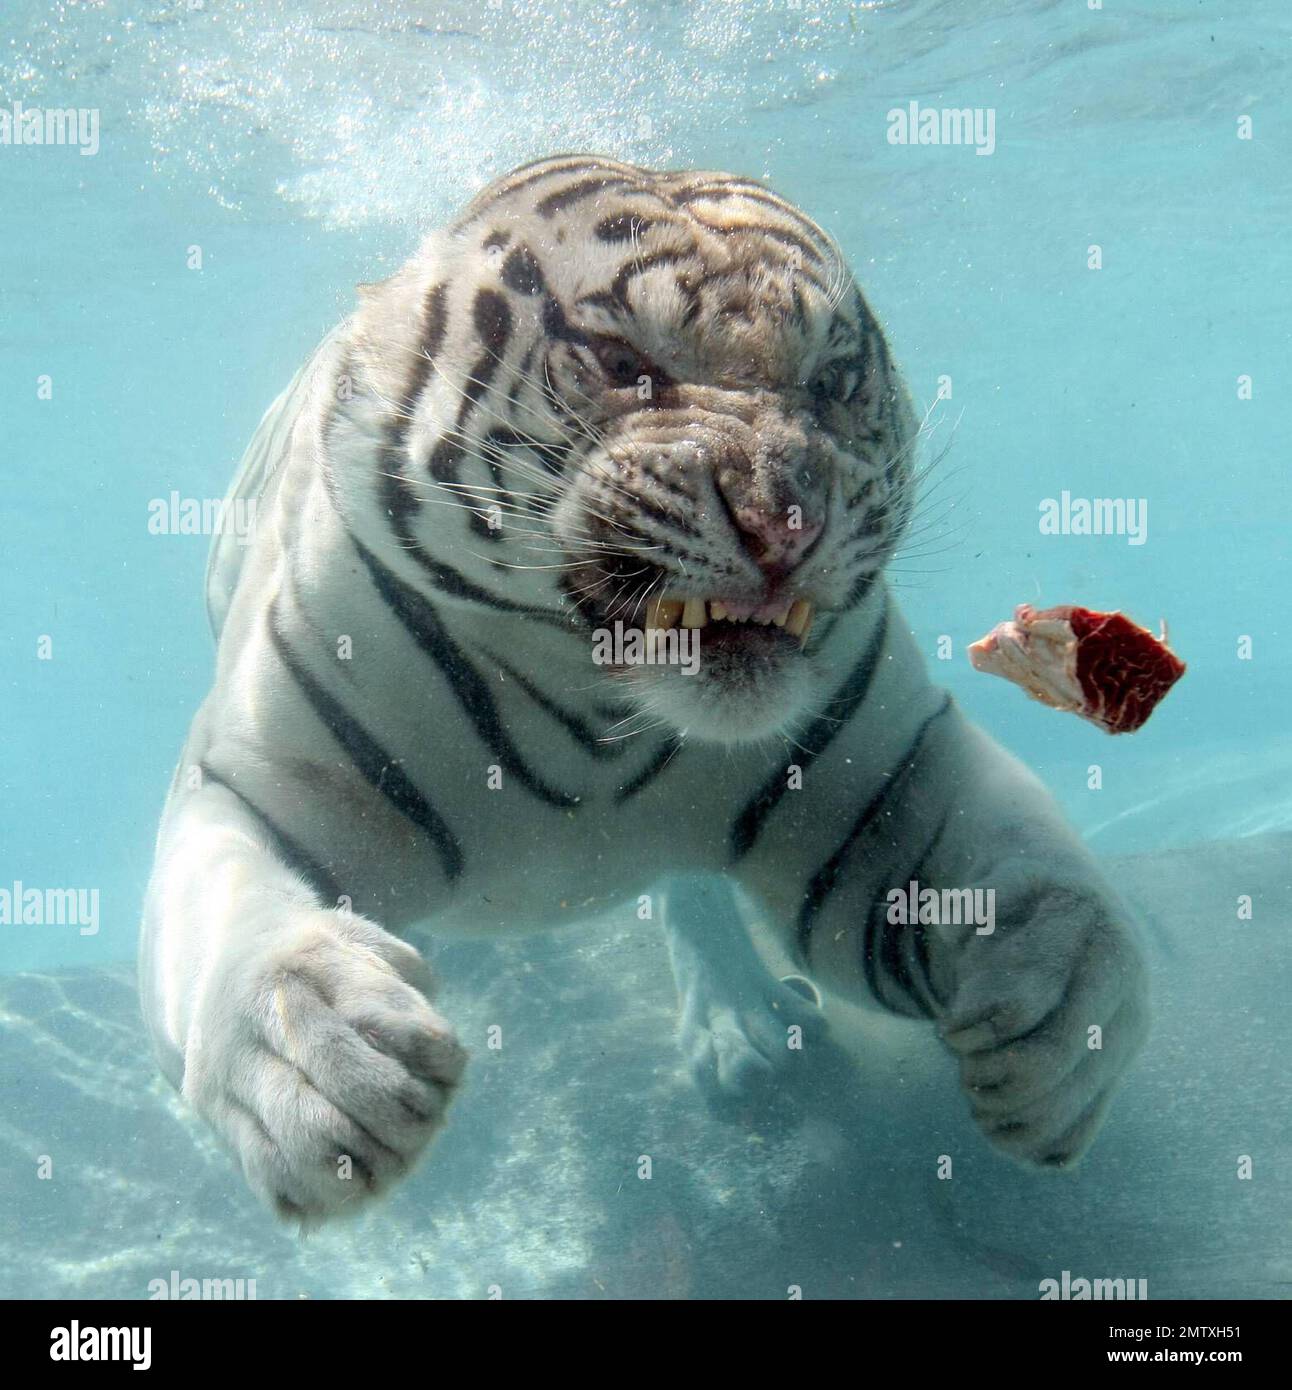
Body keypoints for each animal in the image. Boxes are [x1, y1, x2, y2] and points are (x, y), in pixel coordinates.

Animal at [141, 154, 1151, 1217]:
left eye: (833, 382)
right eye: (621, 362)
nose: (785, 522)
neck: (596, 715)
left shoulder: (882, 789)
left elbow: (1062, 892)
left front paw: (1060, 1025)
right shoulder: (247, 785)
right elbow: (232, 927)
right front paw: (325, 1066)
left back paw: (740, 1027)